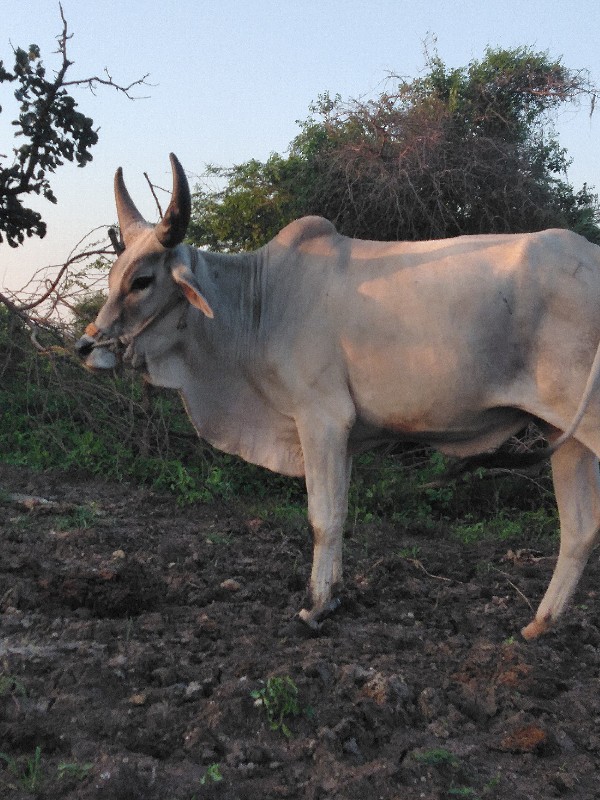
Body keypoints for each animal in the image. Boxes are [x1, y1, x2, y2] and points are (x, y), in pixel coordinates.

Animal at [76, 152, 600, 636]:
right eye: (113, 277)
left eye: (142, 281)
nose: (86, 347)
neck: (259, 303)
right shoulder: (344, 436)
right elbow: (341, 512)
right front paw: (335, 596)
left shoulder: (321, 420)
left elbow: (322, 517)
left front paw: (314, 606)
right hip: (563, 433)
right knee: (579, 528)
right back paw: (539, 625)